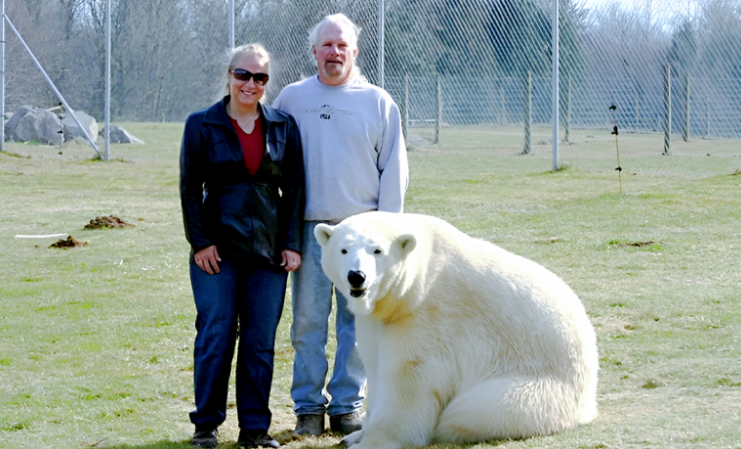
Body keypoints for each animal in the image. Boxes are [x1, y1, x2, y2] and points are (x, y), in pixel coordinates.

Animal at [316, 211, 600, 448]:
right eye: (343, 249)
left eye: (377, 250)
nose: (357, 276)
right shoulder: (379, 321)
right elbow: (375, 370)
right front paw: (354, 435)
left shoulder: (425, 317)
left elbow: (407, 379)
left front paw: (373, 442)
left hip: (536, 386)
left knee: (470, 410)